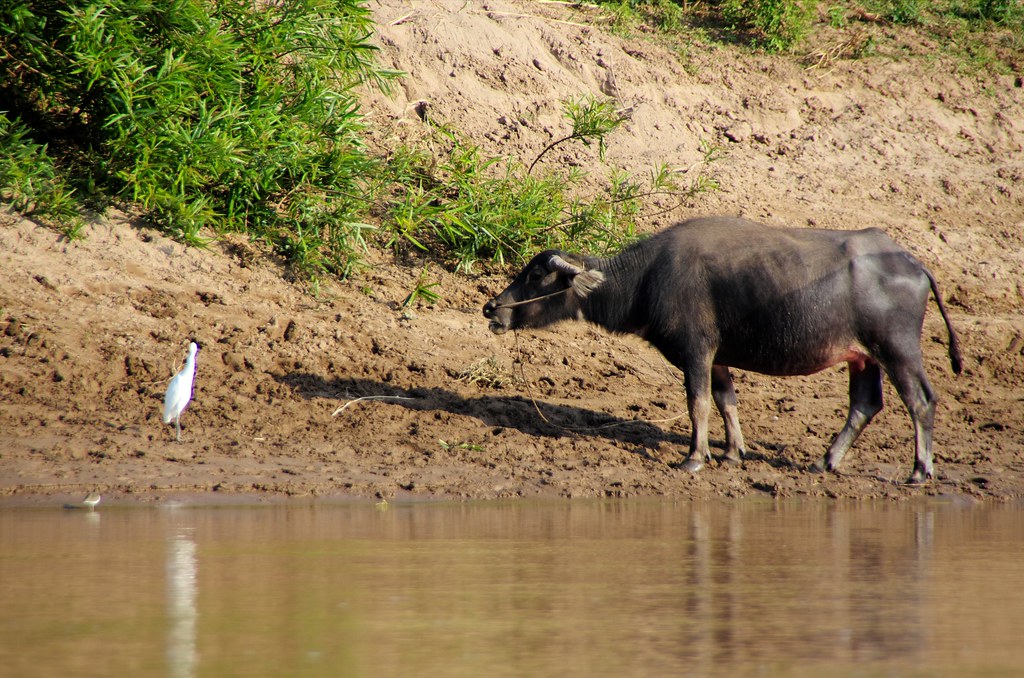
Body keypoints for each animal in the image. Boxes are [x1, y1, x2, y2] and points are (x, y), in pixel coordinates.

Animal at [483, 216, 962, 483]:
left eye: (535, 276)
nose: (492, 307)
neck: (646, 279)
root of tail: (913, 264)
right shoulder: (719, 360)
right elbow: (726, 401)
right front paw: (733, 453)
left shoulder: (696, 351)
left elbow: (697, 404)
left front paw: (695, 458)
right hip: (863, 357)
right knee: (866, 404)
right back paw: (825, 461)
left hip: (897, 348)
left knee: (921, 400)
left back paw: (919, 471)